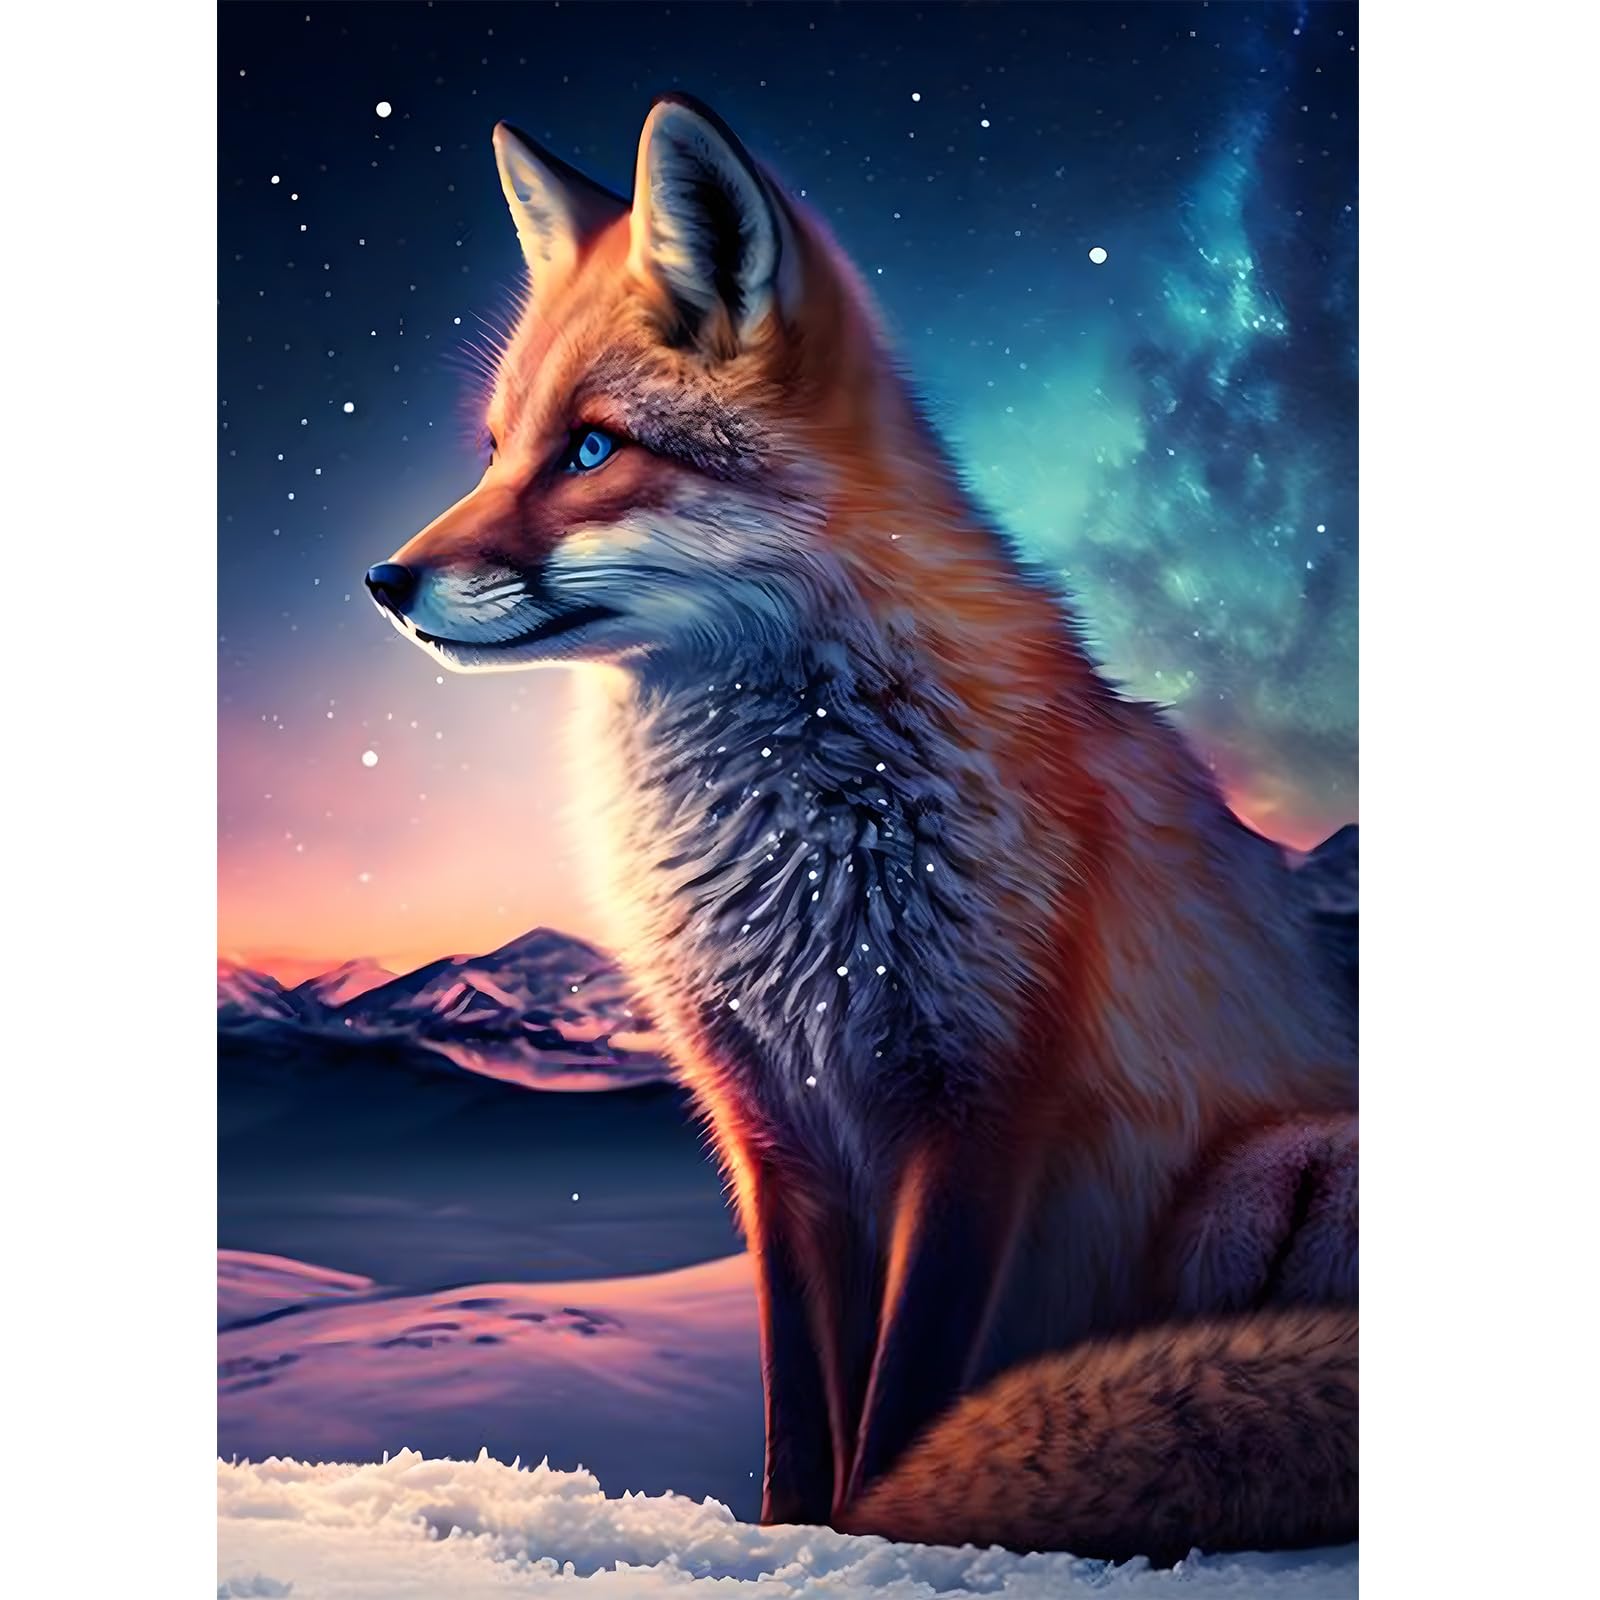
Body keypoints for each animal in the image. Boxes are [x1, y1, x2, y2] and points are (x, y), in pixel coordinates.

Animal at [365, 94, 1358, 1561]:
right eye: (494, 450)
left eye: (593, 448)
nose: (383, 581)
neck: (793, 866)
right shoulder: (767, 1133)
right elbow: (797, 1406)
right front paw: (791, 1539)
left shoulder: (980, 1112)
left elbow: (902, 1399)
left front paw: (892, 1537)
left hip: (1283, 1171)